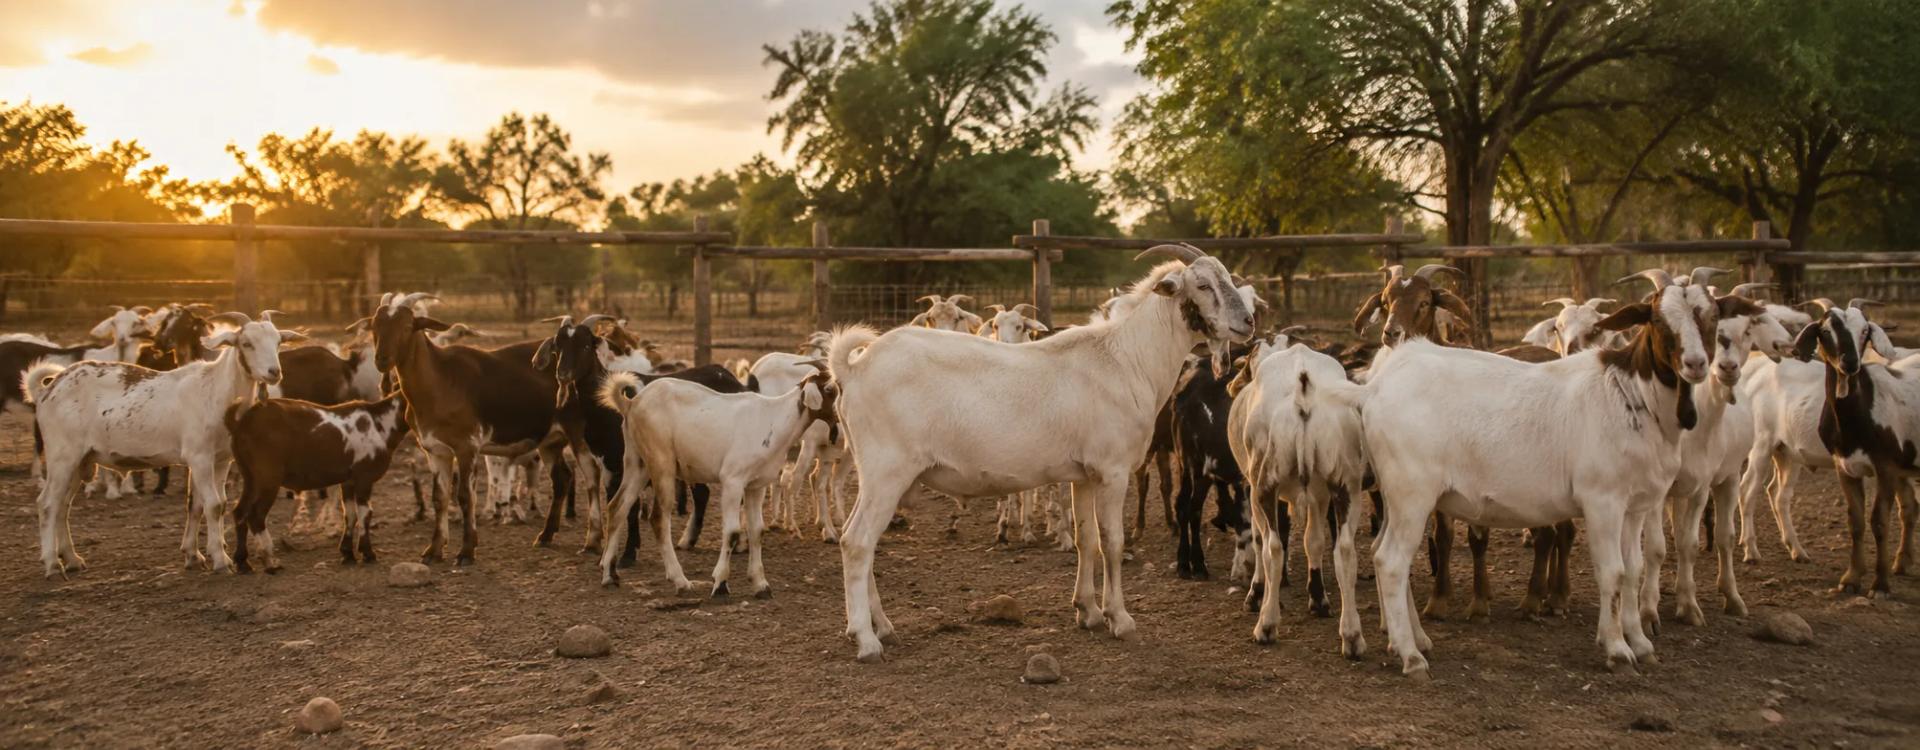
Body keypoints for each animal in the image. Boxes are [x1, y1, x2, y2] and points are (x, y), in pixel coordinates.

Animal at [24, 311, 300, 577]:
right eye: (247, 343)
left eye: (278, 342)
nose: (274, 372)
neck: (215, 390)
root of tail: (49, 389)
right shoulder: (199, 455)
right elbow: (213, 505)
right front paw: (221, 561)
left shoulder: (220, 459)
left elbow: (199, 505)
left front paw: (193, 556)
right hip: (62, 455)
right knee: (47, 504)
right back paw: (52, 564)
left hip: (80, 461)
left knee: (63, 506)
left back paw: (72, 559)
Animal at [225, 394, 411, 572]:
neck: (379, 423)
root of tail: (241, 424)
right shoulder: (364, 478)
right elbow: (365, 513)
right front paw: (368, 553)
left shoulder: (349, 481)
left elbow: (349, 513)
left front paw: (347, 554)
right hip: (268, 478)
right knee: (256, 515)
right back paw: (270, 561)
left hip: (251, 478)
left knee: (240, 512)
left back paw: (243, 563)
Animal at [597, 365, 839, 596]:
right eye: (829, 389)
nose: (840, 420)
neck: (775, 419)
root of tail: (631, 403)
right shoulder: (733, 481)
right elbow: (731, 532)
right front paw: (720, 584)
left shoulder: (756, 485)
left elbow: (756, 531)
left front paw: (760, 585)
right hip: (661, 462)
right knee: (658, 518)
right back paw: (680, 581)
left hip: (637, 462)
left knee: (617, 507)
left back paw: (610, 575)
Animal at [828, 244, 1255, 662]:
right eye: (1202, 284)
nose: (1248, 322)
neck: (1125, 359)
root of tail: (854, 369)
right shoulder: (1113, 471)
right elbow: (1113, 542)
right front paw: (1120, 618)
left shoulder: (1085, 475)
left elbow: (1087, 540)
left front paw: (1088, 612)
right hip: (887, 470)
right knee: (857, 542)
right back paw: (866, 640)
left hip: (874, 474)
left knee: (860, 539)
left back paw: (882, 627)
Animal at [1363, 267, 1751, 677]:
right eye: (1658, 320)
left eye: (1711, 316)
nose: (1695, 363)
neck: (1630, 394)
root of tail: (1376, 386)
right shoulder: (1602, 501)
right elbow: (1611, 572)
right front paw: (1617, 649)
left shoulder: (1636, 506)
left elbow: (1633, 569)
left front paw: (1641, 643)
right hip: (1412, 493)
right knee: (1391, 561)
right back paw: (1411, 656)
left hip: (1394, 495)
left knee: (1379, 552)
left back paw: (1414, 640)